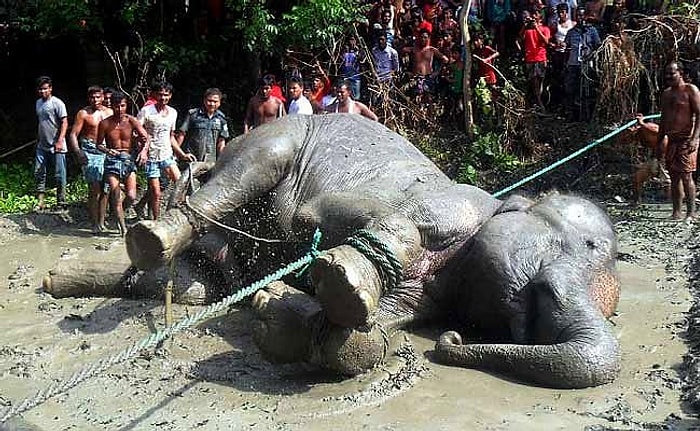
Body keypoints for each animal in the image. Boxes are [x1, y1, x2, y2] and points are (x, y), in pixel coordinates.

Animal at [110, 114, 624, 388]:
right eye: (584, 244)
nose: (451, 340)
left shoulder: (430, 295)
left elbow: (373, 332)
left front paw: (280, 311)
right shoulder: (450, 201)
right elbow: (320, 218)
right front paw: (338, 280)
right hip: (280, 134)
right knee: (252, 167)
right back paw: (152, 240)